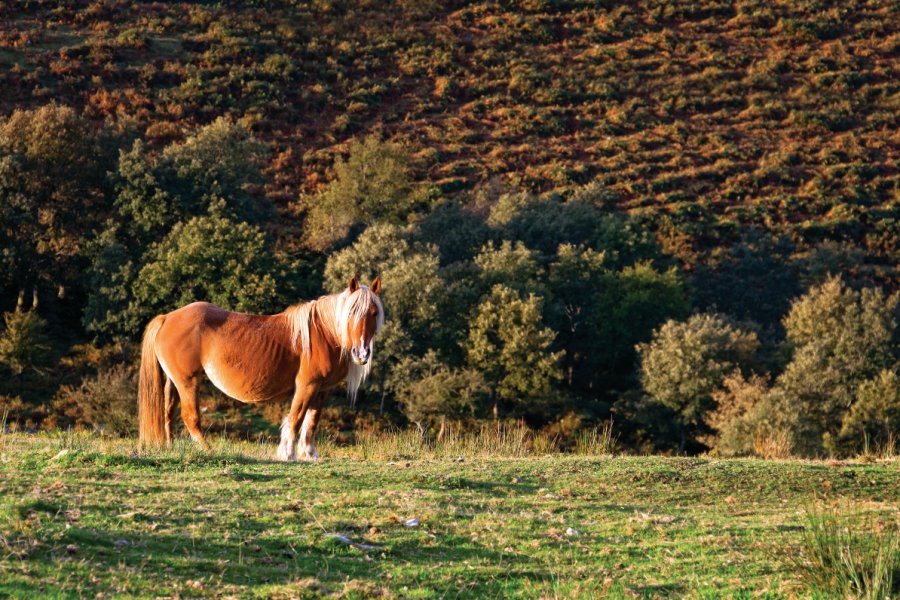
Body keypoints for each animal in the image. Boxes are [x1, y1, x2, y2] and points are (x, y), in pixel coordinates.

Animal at [137, 274, 384, 462]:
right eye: (351, 312)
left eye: (374, 313)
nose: (361, 353)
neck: (323, 332)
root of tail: (167, 317)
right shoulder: (307, 386)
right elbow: (296, 418)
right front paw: (288, 454)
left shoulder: (321, 390)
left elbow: (311, 423)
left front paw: (310, 455)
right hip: (188, 381)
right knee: (190, 417)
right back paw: (209, 451)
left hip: (174, 381)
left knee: (168, 413)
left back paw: (170, 448)